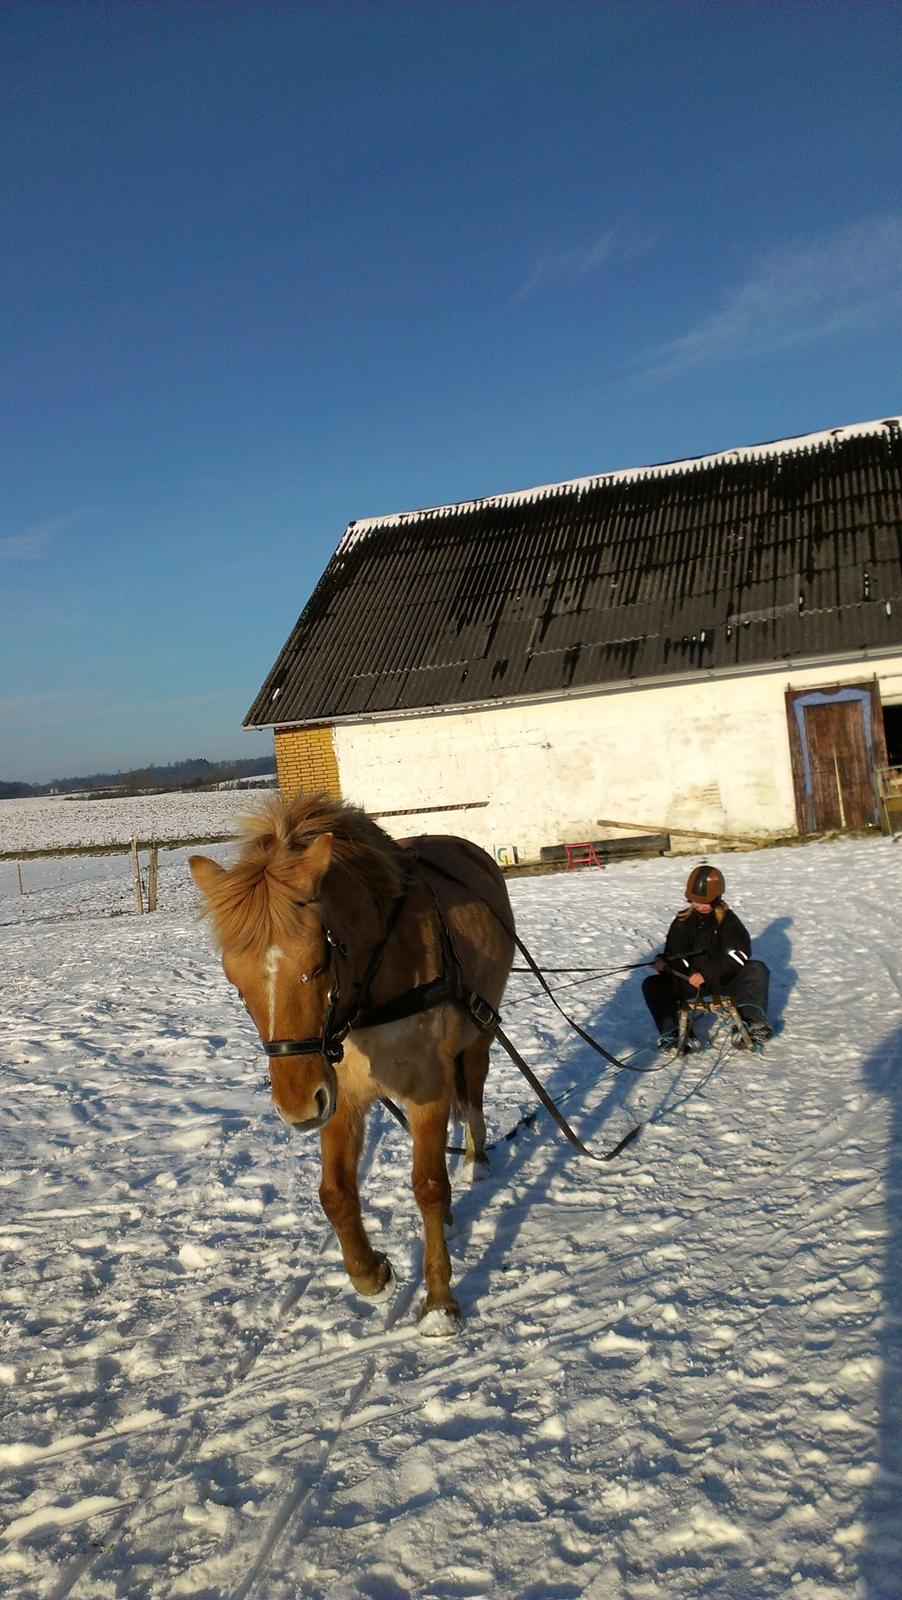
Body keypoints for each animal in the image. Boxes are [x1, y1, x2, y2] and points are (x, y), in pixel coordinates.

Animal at [190, 793, 514, 1331]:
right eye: (234, 981)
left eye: (319, 961)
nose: (297, 1108)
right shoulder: (340, 1097)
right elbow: (336, 1194)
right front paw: (371, 1273)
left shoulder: (426, 1086)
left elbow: (428, 1185)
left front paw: (439, 1302)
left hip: (479, 1037)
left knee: (472, 1097)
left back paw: (475, 1160)